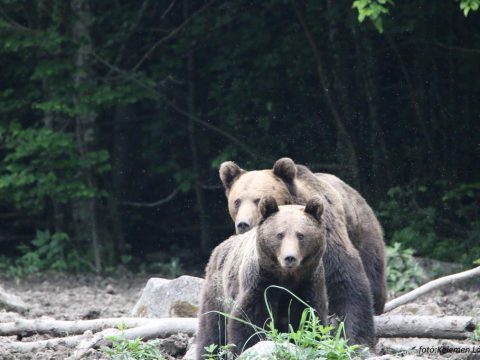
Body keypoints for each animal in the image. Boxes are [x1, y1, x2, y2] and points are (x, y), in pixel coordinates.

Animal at [196, 198, 330, 358]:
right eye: (280, 235)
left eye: (300, 235)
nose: (289, 258)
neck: (286, 277)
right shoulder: (259, 282)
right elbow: (248, 319)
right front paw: (248, 345)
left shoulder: (308, 282)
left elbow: (309, 317)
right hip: (217, 290)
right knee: (212, 328)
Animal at [219, 159, 384, 320]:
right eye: (237, 201)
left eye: (257, 200)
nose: (243, 224)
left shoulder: (324, 233)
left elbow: (345, 276)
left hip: (363, 231)